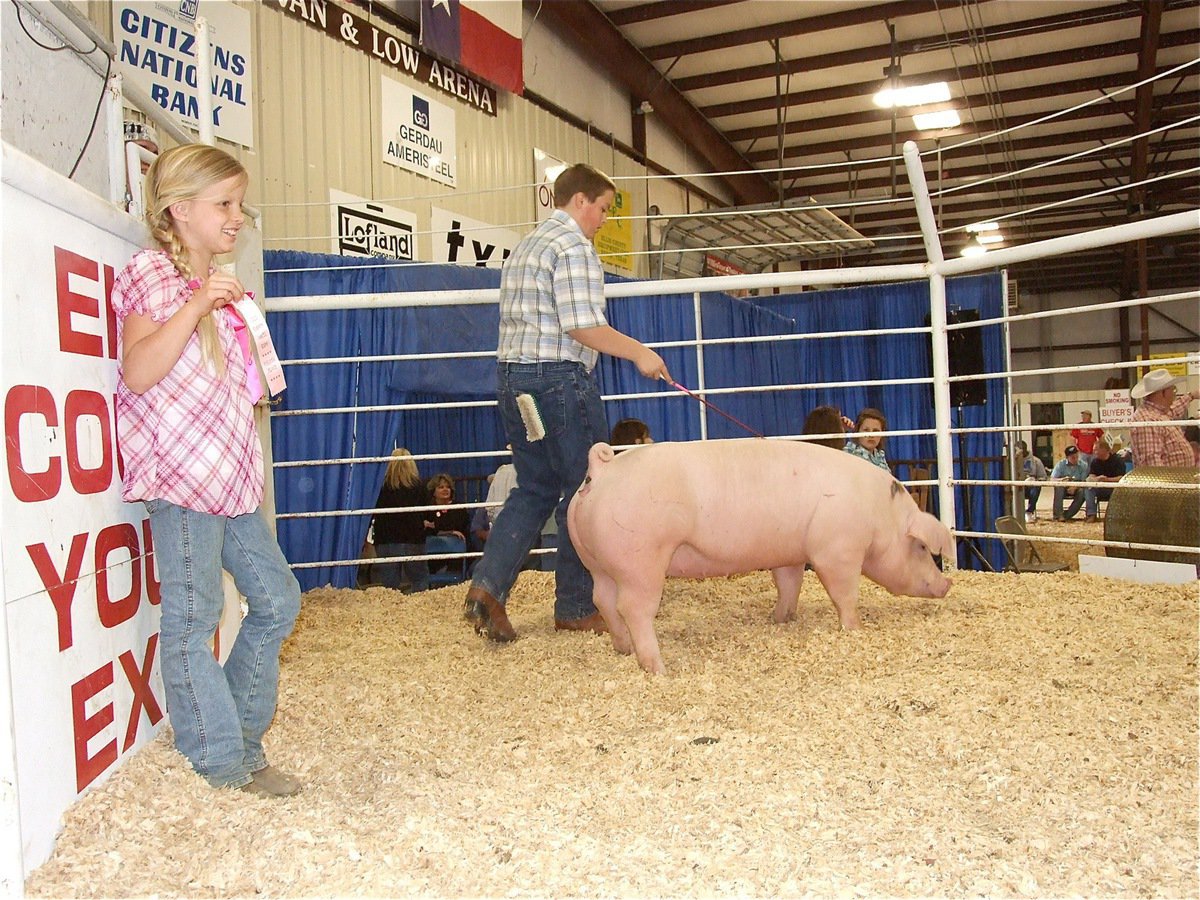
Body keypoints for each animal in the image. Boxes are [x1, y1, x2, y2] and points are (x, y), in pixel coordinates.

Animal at [566, 441, 950, 672]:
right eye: (921, 547)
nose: (946, 585)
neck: (880, 516)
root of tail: (599, 472)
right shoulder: (836, 550)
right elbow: (844, 594)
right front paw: (855, 628)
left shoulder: (790, 553)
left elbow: (789, 585)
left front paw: (782, 619)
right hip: (642, 561)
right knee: (633, 607)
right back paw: (657, 666)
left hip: (597, 563)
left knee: (603, 599)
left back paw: (622, 648)